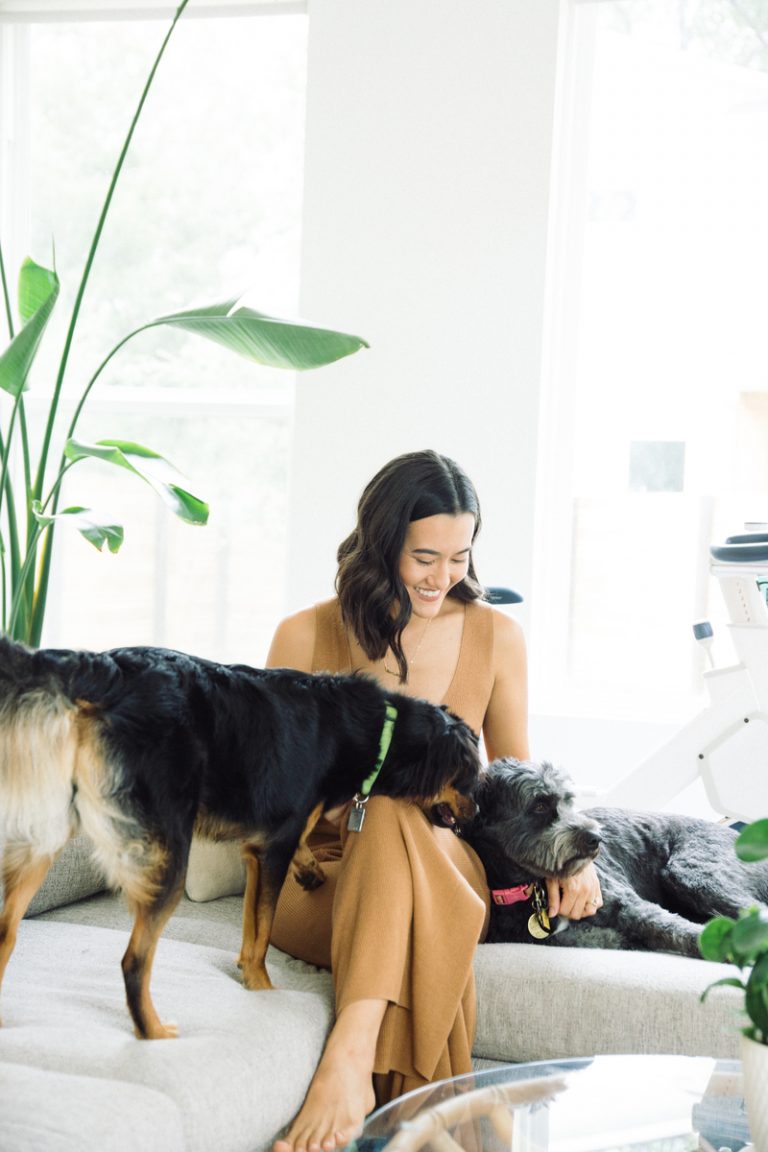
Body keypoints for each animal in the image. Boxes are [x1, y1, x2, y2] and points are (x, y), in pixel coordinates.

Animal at [0, 635, 481, 1041]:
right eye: (469, 779)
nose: (476, 816)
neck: (376, 730)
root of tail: (111, 666)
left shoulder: (258, 852)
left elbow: (253, 925)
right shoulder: (276, 848)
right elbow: (263, 933)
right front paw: (263, 989)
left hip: (49, 832)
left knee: (7, 932)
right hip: (168, 853)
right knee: (134, 960)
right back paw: (153, 1032)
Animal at [462, 755, 768, 953]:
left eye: (568, 801)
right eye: (539, 805)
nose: (596, 838)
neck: (535, 885)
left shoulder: (628, 905)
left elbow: (676, 929)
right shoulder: (544, 937)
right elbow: (601, 938)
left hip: (693, 872)